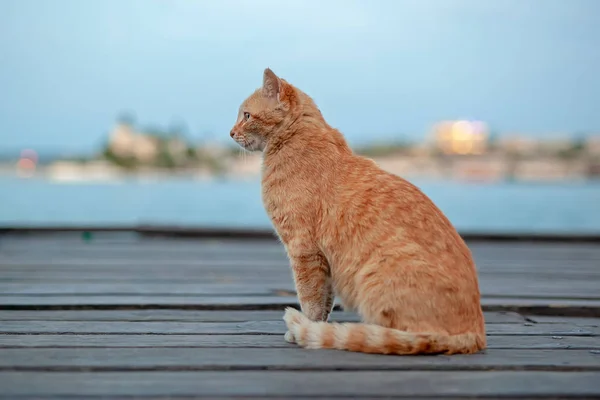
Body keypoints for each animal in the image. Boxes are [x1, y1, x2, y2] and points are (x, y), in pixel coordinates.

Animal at [230, 67, 488, 354]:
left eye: (246, 115)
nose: (230, 132)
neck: (294, 140)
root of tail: (477, 333)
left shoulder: (303, 249)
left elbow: (310, 299)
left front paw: (306, 329)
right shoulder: (323, 260)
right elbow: (325, 301)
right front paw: (317, 327)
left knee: (406, 335)